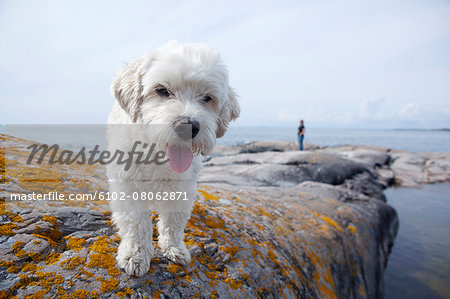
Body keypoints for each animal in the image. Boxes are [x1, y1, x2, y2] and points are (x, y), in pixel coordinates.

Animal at [106, 41, 239, 278]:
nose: (188, 126)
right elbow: (136, 223)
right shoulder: (128, 185)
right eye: (161, 90)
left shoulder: (182, 187)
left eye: (207, 97)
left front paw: (174, 248)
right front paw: (135, 254)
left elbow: (173, 222)